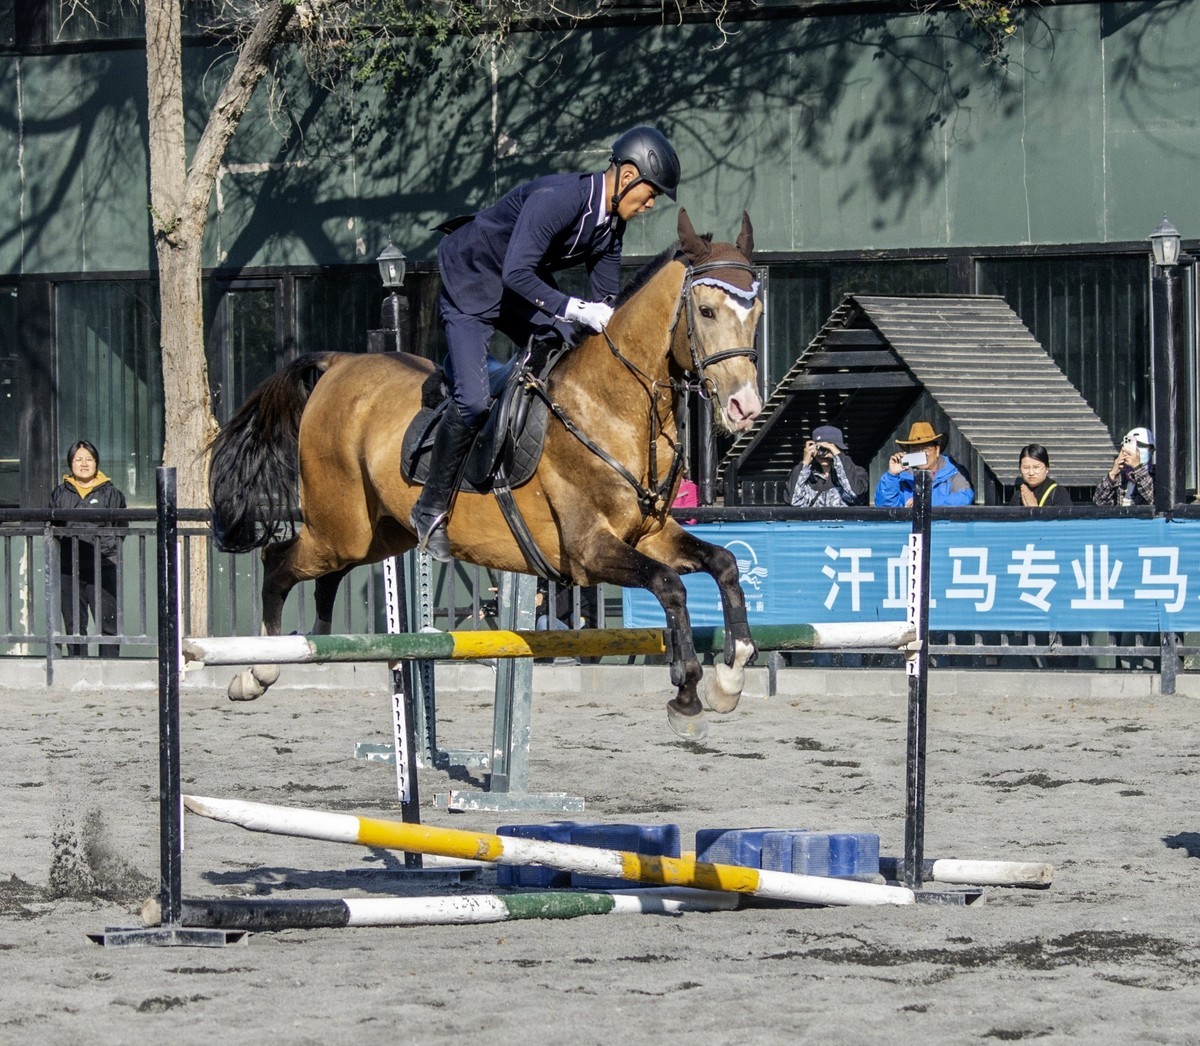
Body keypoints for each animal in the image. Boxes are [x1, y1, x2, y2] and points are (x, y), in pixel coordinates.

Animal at [208, 208, 765, 739]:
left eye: (755, 312)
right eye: (706, 311)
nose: (745, 407)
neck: (609, 406)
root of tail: (339, 362)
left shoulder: (650, 534)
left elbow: (724, 563)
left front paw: (730, 675)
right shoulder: (589, 551)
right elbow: (670, 586)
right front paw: (688, 694)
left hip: (374, 535)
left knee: (324, 578)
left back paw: (322, 641)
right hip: (338, 530)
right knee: (279, 562)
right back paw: (256, 671)